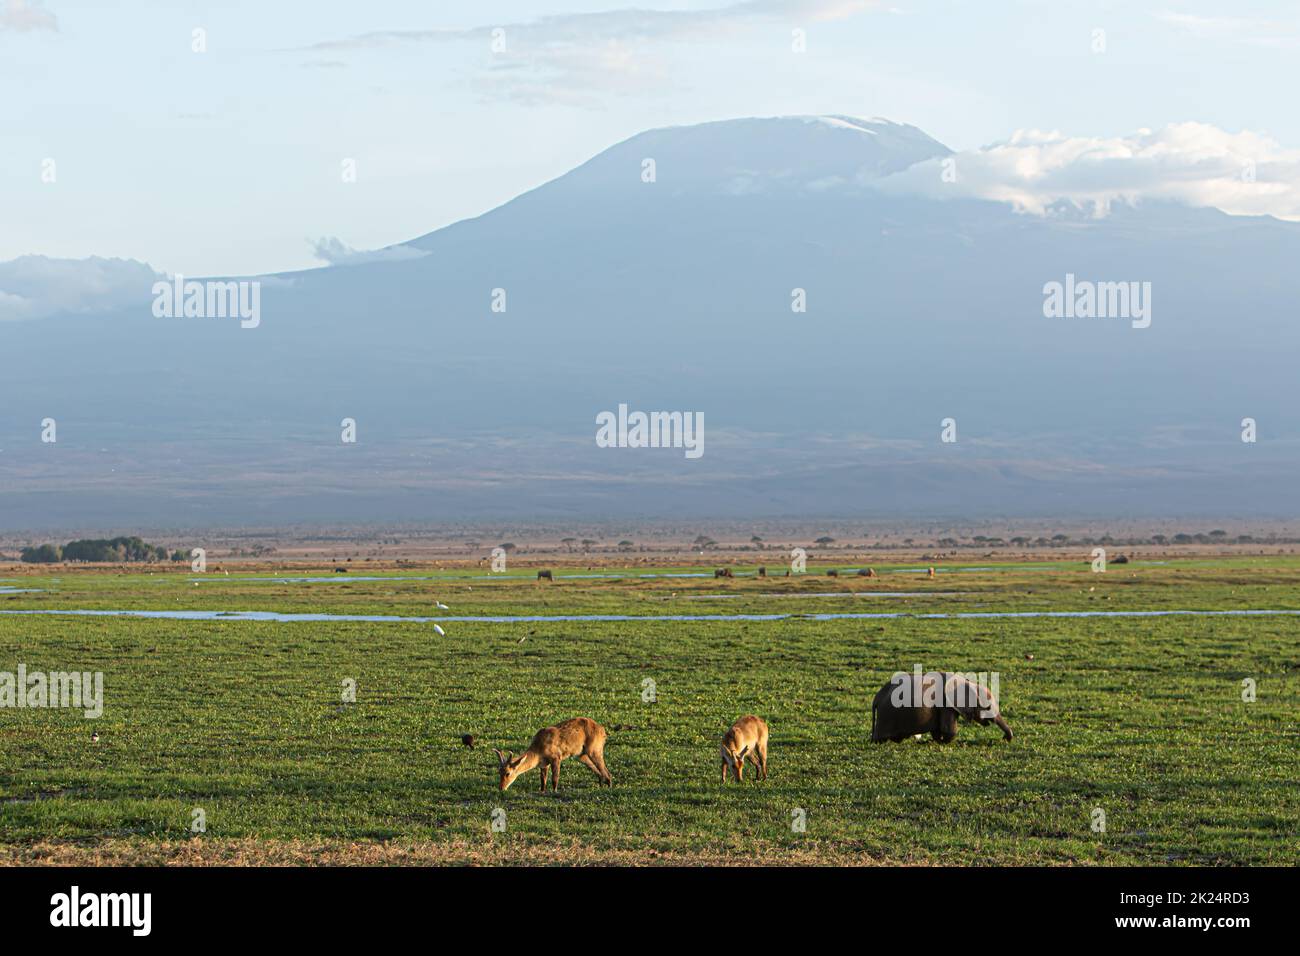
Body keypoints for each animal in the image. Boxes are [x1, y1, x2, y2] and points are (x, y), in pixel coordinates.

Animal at [870, 671, 1012, 743]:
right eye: (987, 708)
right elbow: (948, 730)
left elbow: (937, 729)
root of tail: (876, 698)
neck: (967, 683)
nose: (1005, 739)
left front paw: (936, 741)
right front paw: (944, 742)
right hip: (887, 716)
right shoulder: (945, 704)